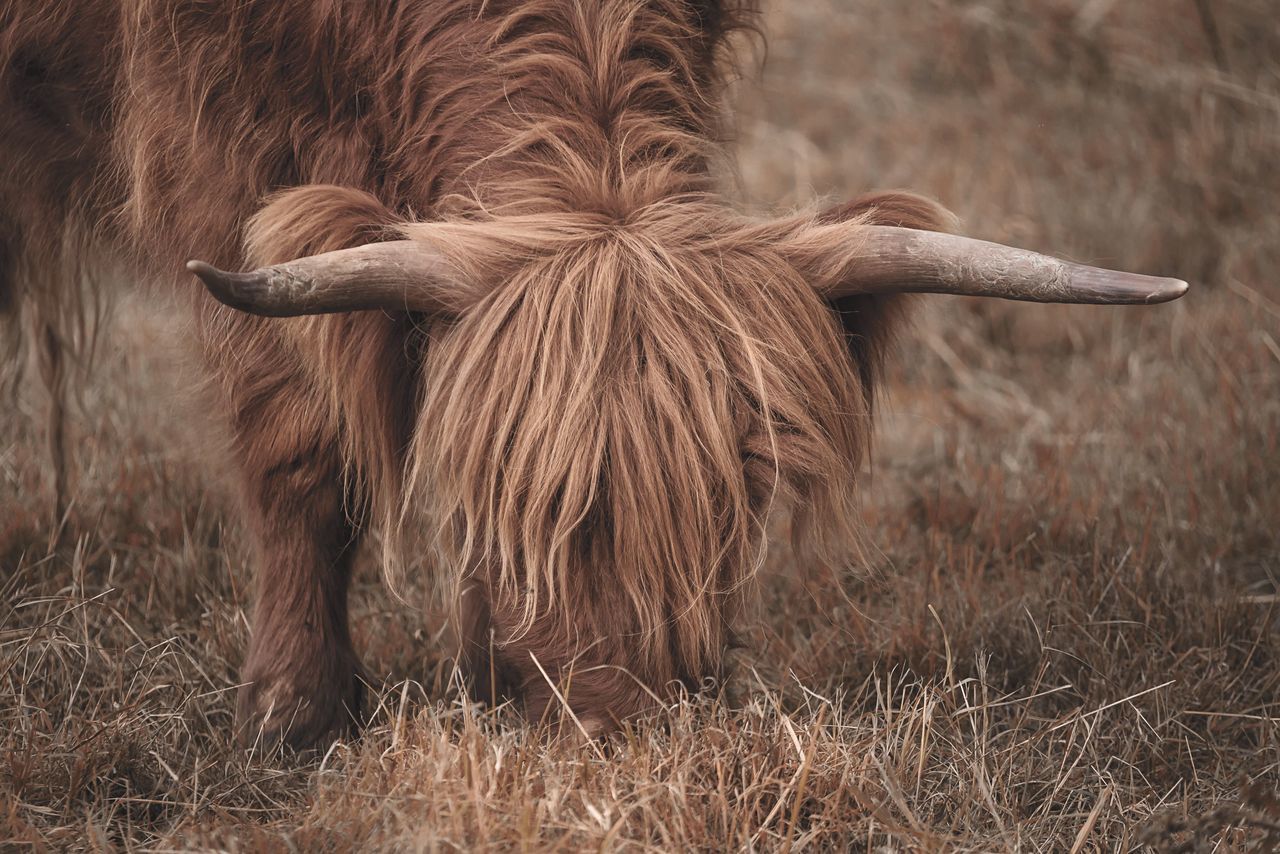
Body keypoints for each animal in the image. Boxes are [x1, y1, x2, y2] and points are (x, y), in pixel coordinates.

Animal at [0, 0, 1182, 747]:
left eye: (743, 481)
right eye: (516, 487)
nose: (617, 721)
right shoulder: (218, 151)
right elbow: (303, 453)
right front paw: (296, 711)